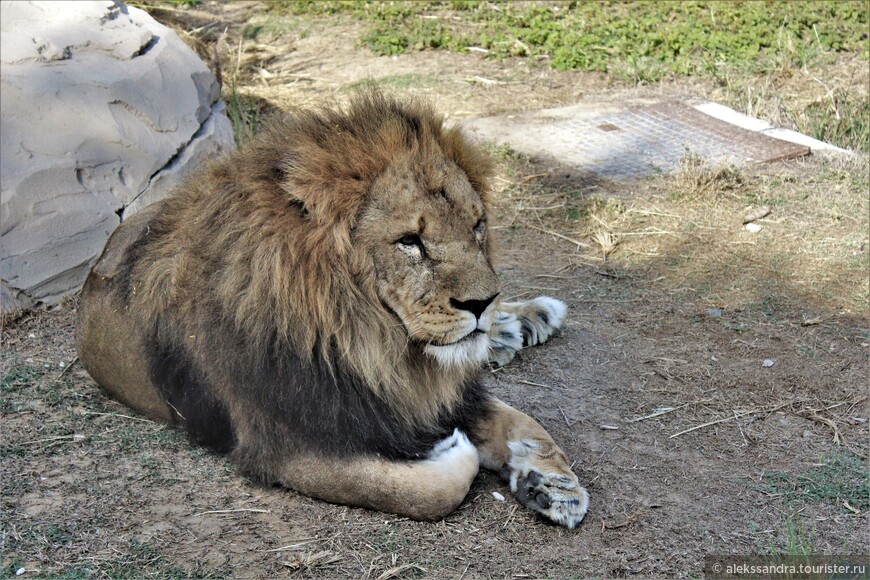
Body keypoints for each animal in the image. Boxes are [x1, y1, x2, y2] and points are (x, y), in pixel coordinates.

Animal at [76, 88, 592, 528]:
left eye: (477, 226)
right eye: (410, 241)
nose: (483, 302)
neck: (369, 343)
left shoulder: (427, 394)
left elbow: (524, 422)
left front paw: (554, 483)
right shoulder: (287, 446)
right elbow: (429, 491)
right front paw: (452, 447)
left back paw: (527, 320)